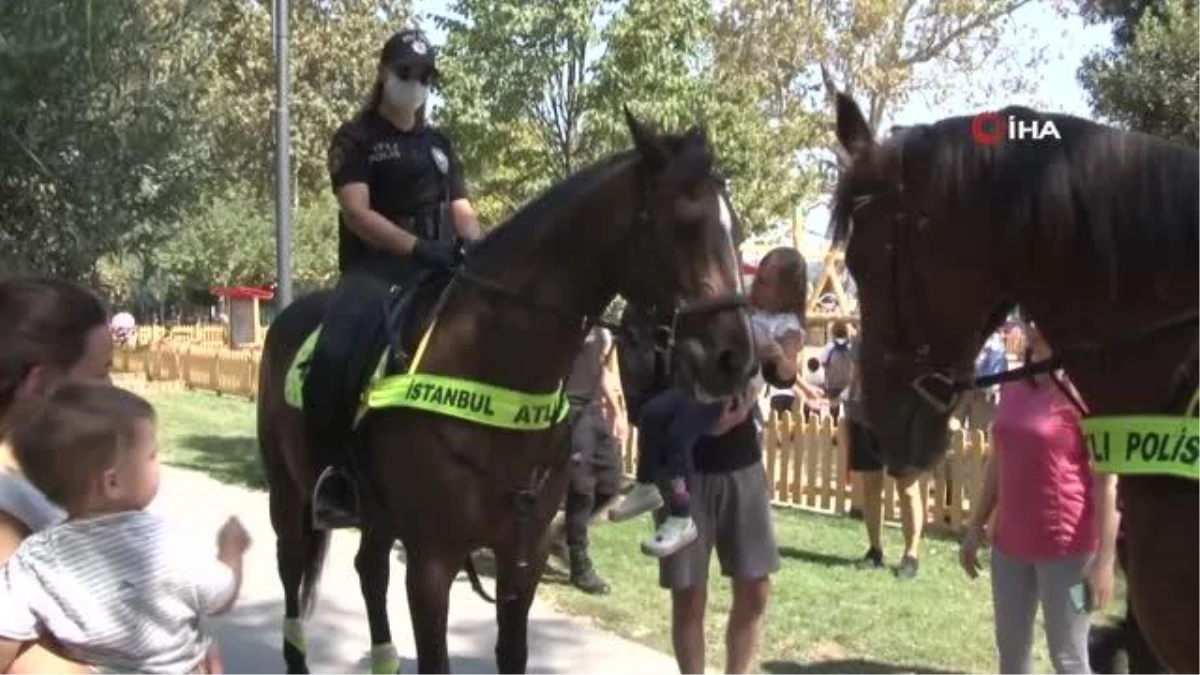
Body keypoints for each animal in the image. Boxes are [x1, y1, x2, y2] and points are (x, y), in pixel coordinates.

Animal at [258, 111, 753, 672]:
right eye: (684, 223)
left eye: (735, 228)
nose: (736, 359)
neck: (491, 364)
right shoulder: (431, 564)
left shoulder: (523, 557)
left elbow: (512, 651)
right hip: (289, 497)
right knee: (293, 574)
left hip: (378, 515)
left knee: (370, 571)